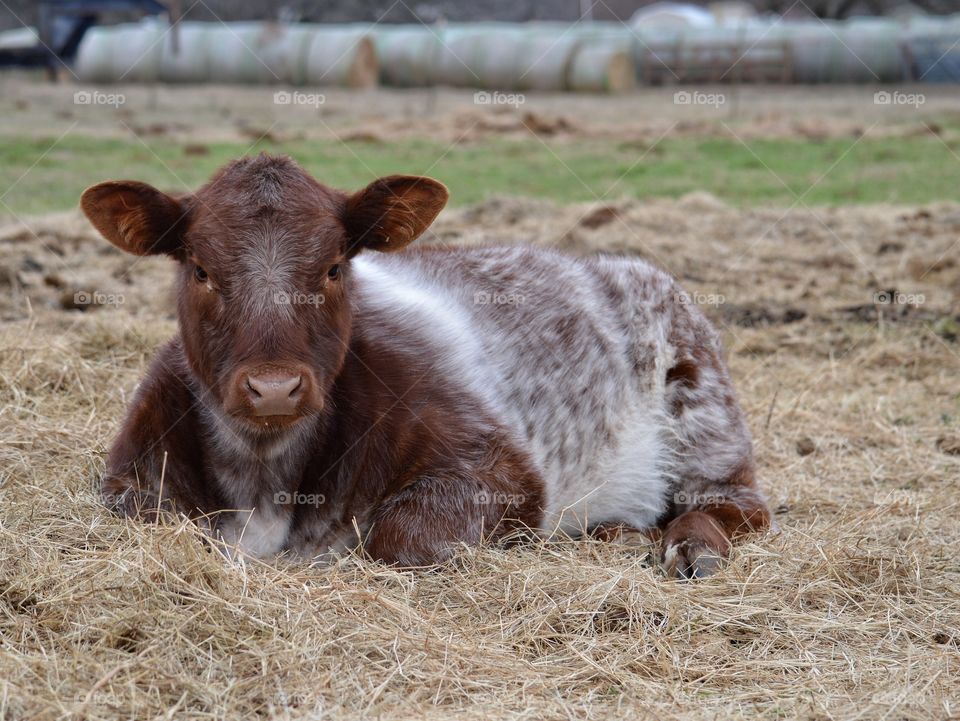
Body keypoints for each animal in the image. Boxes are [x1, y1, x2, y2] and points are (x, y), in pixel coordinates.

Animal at [80, 153, 770, 579]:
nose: (273, 388)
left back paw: (691, 547)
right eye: (200, 269)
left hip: (707, 422)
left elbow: (399, 537)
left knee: (734, 506)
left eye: (335, 267)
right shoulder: (128, 481)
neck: (264, 475)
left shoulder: (500, 469)